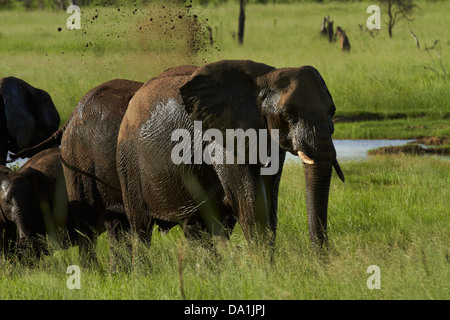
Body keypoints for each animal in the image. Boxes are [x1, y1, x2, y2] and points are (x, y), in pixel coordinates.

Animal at [116, 60, 344, 255]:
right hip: (128, 159)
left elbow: (270, 200)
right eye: (288, 114)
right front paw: (264, 273)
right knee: (140, 230)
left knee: (195, 229)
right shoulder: (222, 137)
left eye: (332, 111)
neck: (263, 80)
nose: (320, 263)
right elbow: (250, 202)